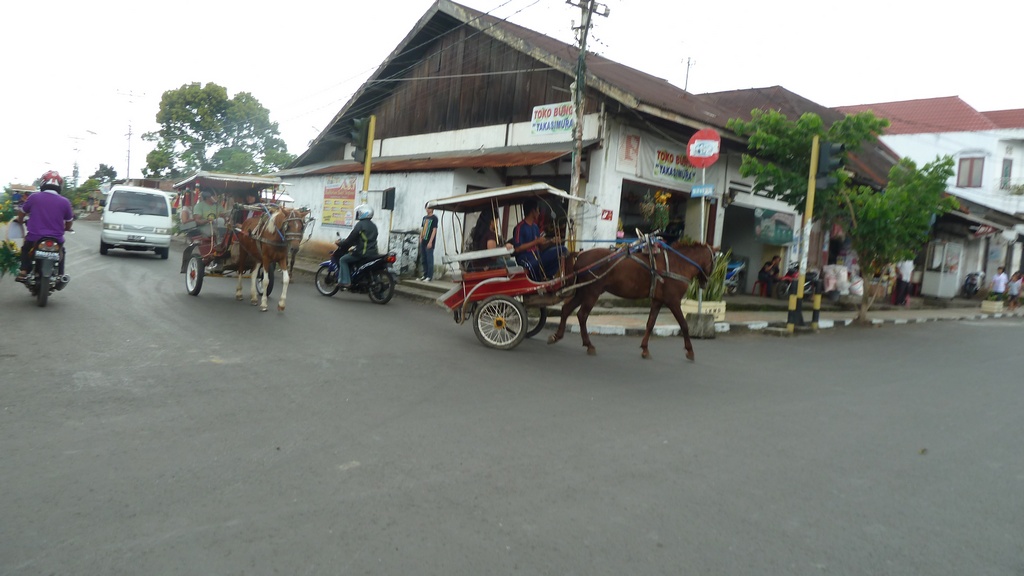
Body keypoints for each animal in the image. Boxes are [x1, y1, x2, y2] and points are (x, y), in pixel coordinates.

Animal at [548, 240, 716, 360]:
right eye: (714, 261)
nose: (705, 283)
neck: (677, 264)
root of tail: (580, 256)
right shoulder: (673, 301)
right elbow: (684, 325)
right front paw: (690, 350)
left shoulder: (657, 300)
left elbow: (650, 324)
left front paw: (645, 349)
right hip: (592, 292)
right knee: (581, 315)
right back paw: (589, 345)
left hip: (583, 291)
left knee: (566, 309)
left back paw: (557, 336)